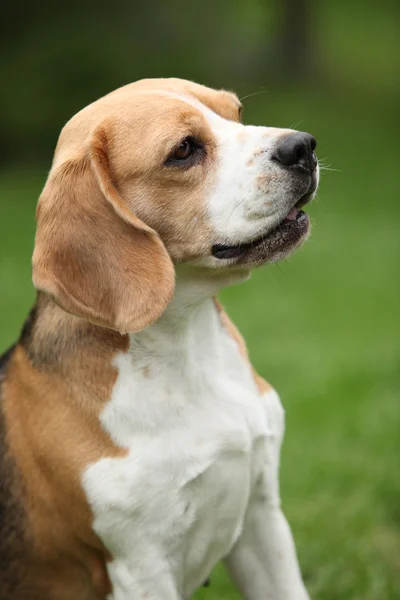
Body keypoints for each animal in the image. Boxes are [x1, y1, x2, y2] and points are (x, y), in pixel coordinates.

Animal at [0, 79, 318, 600]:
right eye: (183, 150)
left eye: (235, 113)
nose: (303, 147)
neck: (189, 347)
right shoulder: (141, 565)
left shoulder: (262, 518)